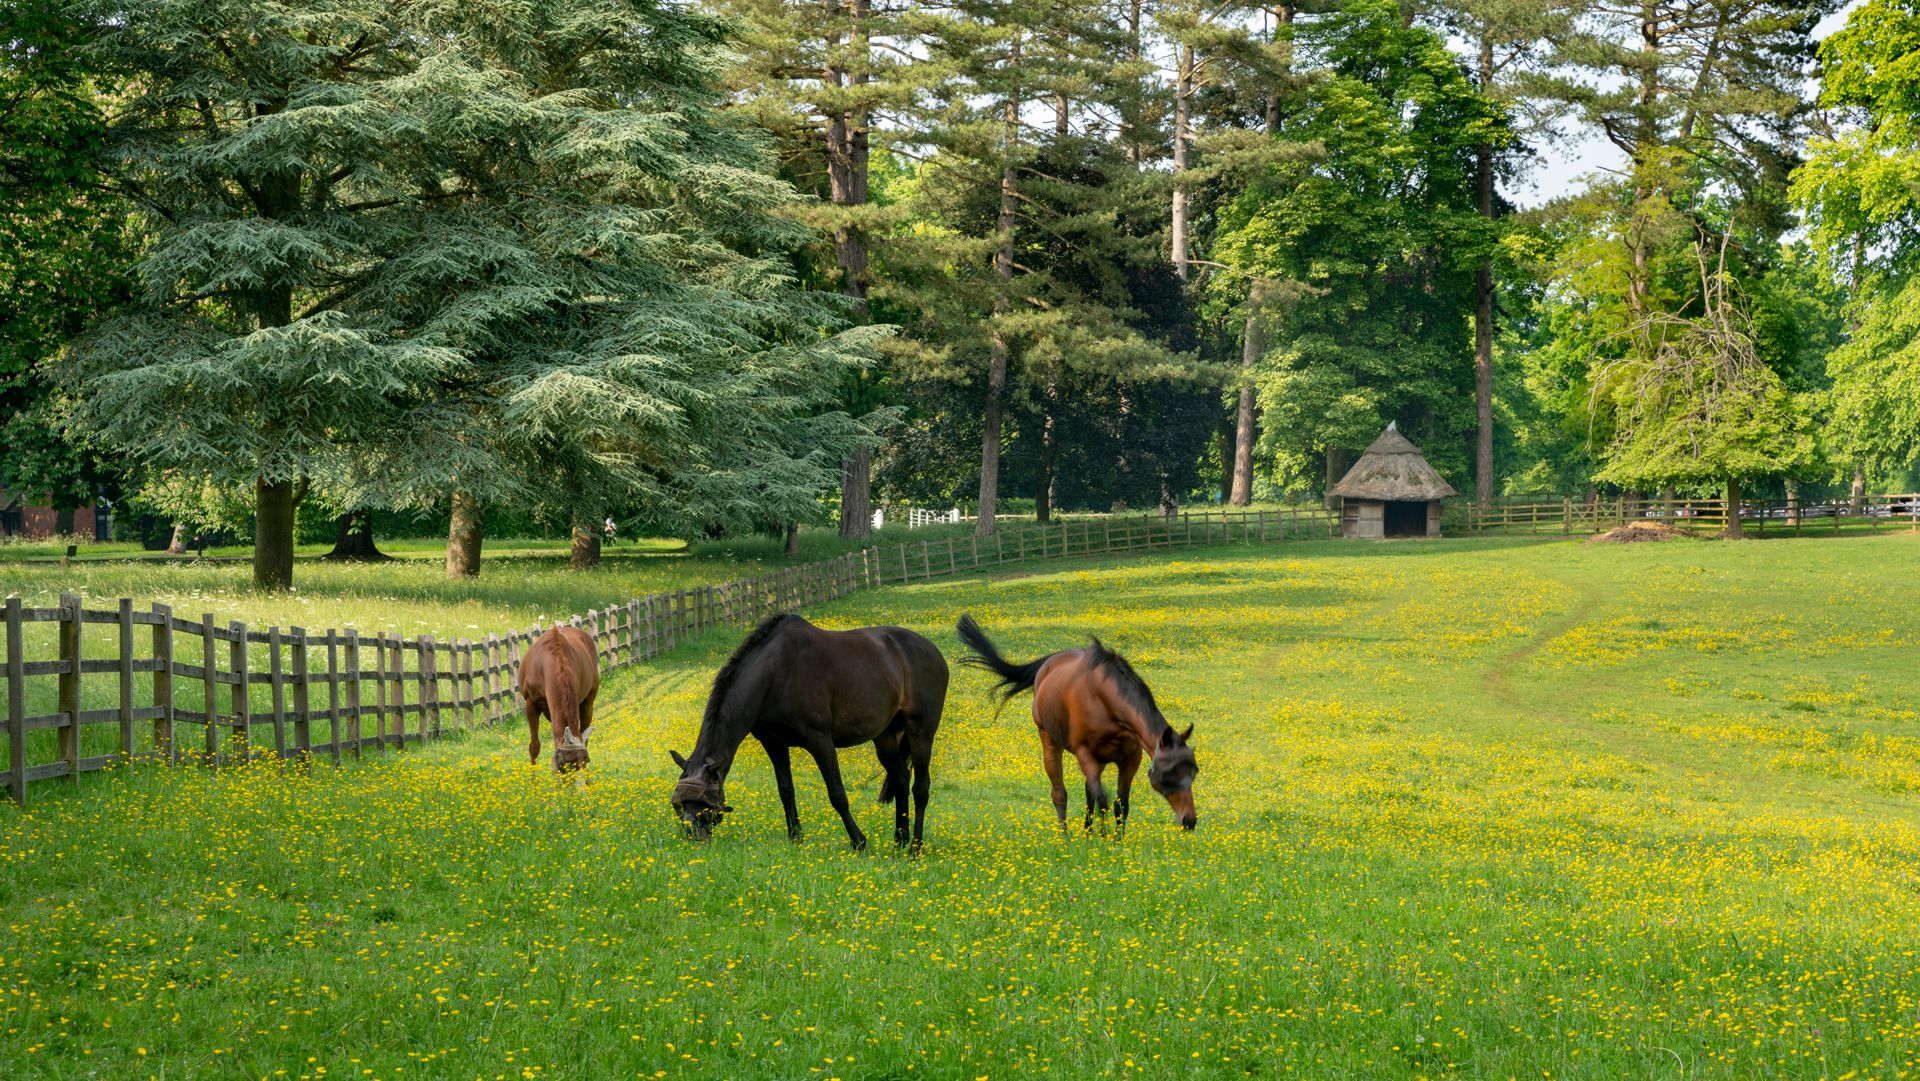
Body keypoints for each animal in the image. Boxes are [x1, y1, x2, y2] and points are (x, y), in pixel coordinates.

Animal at [670, 614, 948, 850]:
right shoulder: (774, 743)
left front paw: (858, 841)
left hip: (921, 733)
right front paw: (795, 837)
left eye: (704, 805)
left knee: (920, 789)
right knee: (901, 779)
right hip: (886, 736)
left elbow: (837, 794)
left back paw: (915, 847)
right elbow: (785, 790)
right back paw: (900, 840)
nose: (693, 838)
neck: (775, 672)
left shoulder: (820, 741)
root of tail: (933, 651)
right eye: (679, 805)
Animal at [956, 614, 1197, 833]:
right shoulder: (1085, 753)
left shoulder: (1130, 758)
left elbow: (1120, 805)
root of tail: (1047, 664)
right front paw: (1103, 839)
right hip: (1050, 742)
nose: (1190, 820)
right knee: (1060, 794)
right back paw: (1066, 838)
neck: (1106, 701)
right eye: (1167, 774)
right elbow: (1102, 801)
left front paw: (1115, 842)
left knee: (1089, 793)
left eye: (1194, 771)